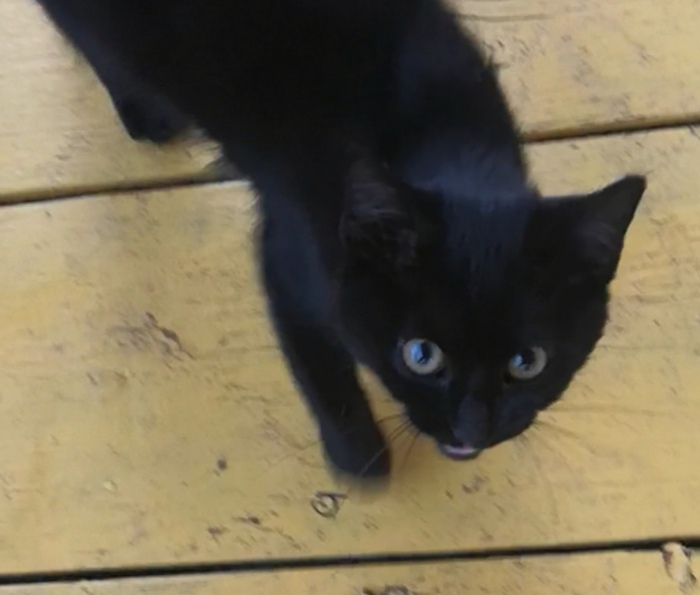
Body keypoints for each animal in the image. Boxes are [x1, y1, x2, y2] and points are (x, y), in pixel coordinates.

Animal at [35, 0, 646, 479]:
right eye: (421, 356)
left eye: (528, 362)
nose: (473, 429)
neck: (447, 140)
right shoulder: (290, 255)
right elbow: (317, 358)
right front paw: (359, 458)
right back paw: (142, 109)